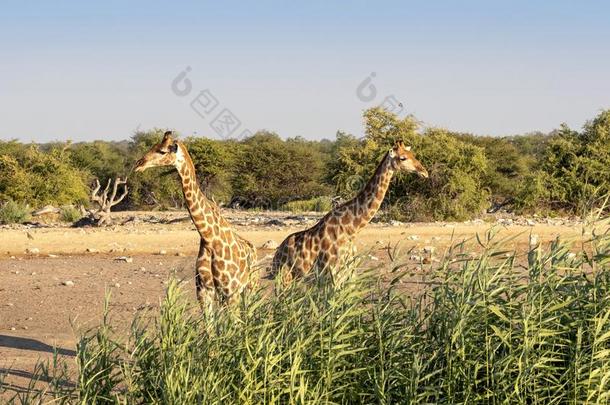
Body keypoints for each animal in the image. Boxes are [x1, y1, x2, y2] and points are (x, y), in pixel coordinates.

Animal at [133, 131, 256, 304]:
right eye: (153, 146)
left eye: (162, 151)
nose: (138, 164)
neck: (209, 238)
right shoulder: (204, 291)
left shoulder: (230, 291)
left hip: (250, 286)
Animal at [270, 140, 428, 286]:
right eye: (403, 158)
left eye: (413, 154)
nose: (424, 172)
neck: (352, 229)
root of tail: (277, 254)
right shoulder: (333, 274)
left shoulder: (349, 273)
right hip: (284, 278)